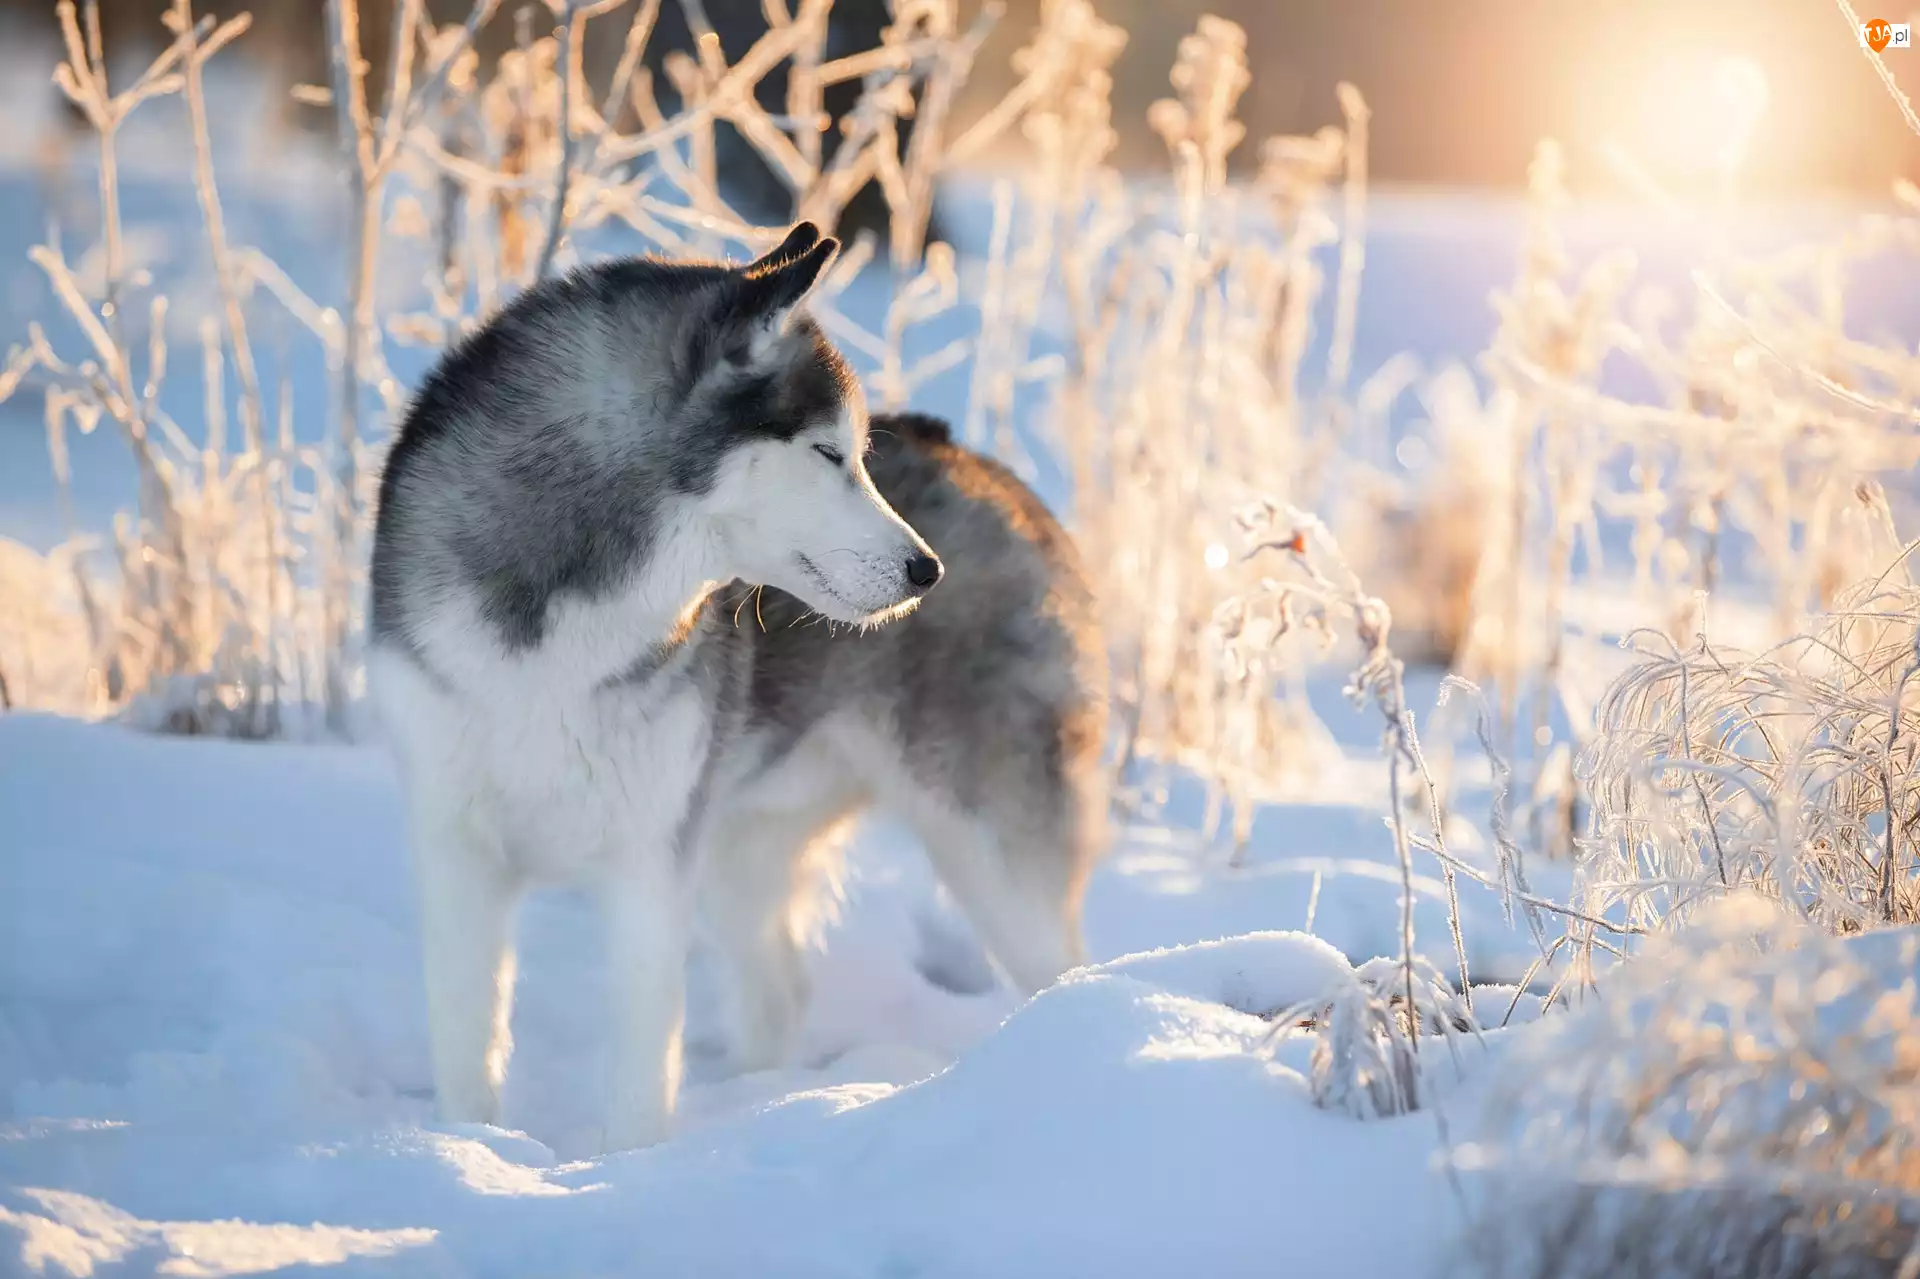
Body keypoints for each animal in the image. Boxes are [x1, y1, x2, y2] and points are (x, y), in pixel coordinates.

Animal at [364, 221, 1105, 1144]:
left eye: (861, 456)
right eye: (828, 452)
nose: (927, 569)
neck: (562, 624)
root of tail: (984, 466)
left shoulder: (650, 863)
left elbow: (641, 1066)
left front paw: (630, 1162)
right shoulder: (457, 849)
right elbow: (468, 1039)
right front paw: (463, 1148)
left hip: (992, 855)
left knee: (1066, 970)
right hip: (738, 848)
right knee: (782, 989)